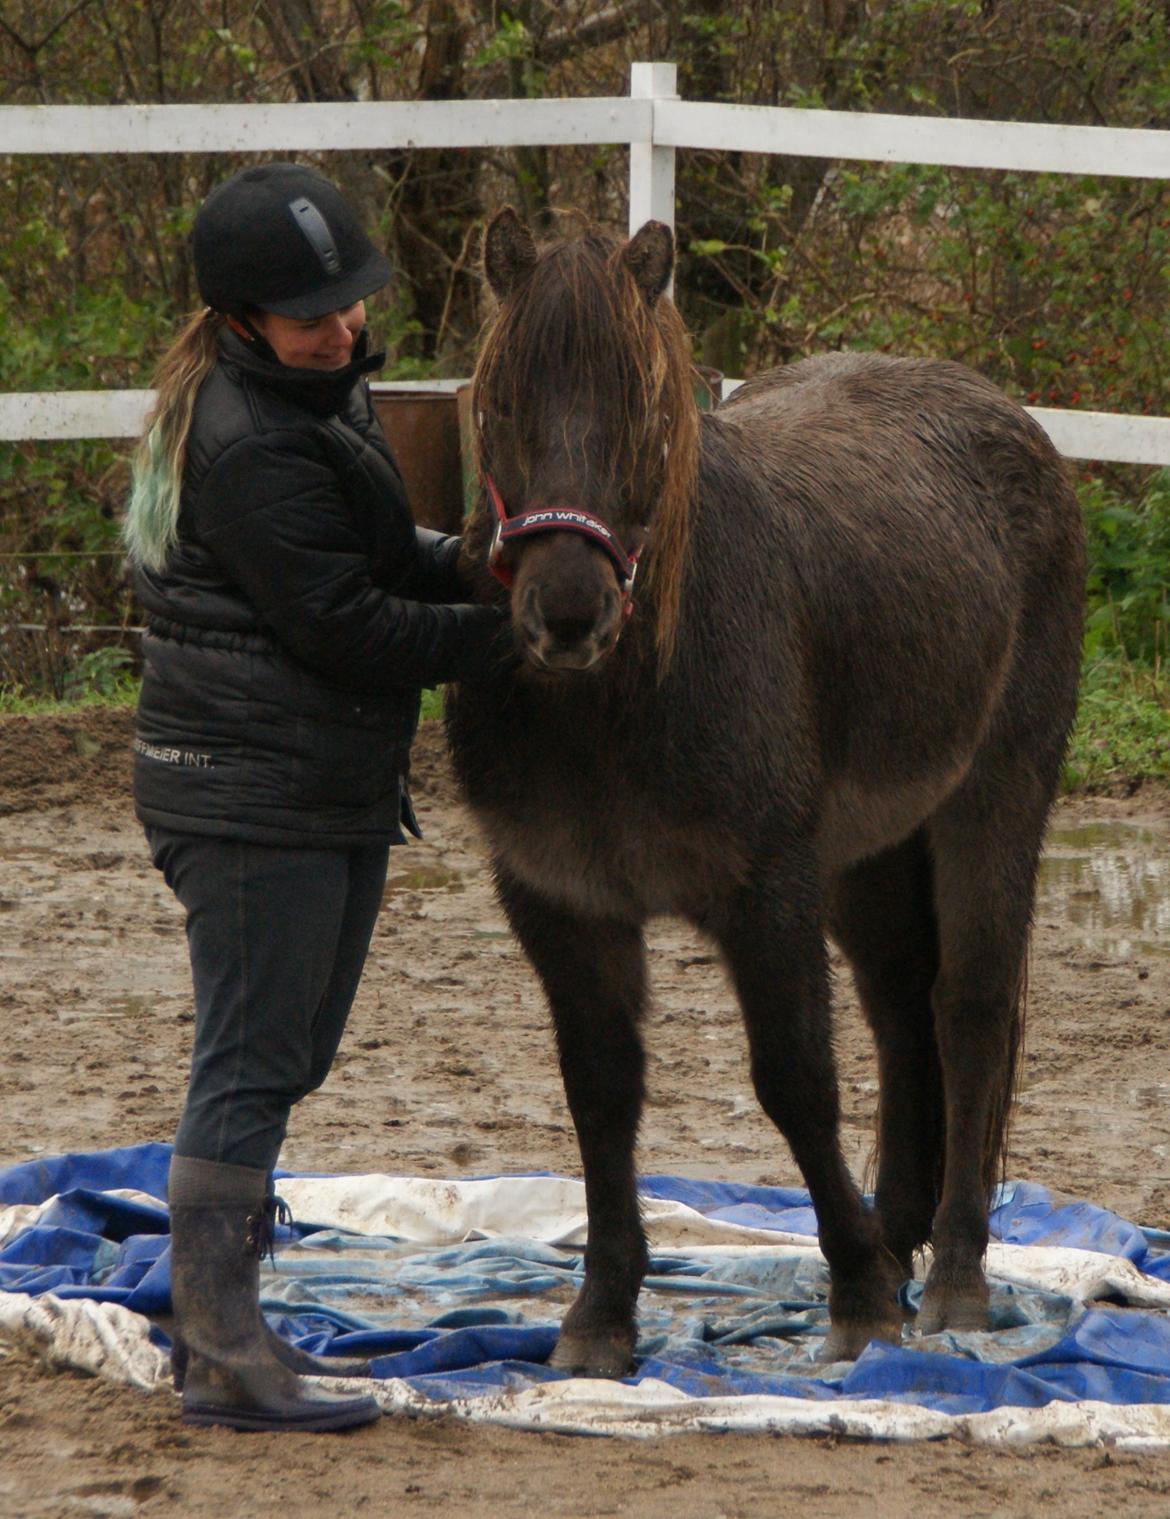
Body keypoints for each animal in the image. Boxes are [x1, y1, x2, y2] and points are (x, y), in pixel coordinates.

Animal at [443, 205, 1081, 1379]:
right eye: (499, 404)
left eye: (646, 415)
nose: (569, 613)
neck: (620, 700)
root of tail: (1006, 417)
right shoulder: (564, 904)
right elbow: (601, 1092)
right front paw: (601, 1315)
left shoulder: (767, 891)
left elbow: (796, 1081)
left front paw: (861, 1295)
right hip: (870, 853)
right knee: (899, 1011)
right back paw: (902, 1231)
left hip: (995, 797)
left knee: (967, 1008)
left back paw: (953, 1279)